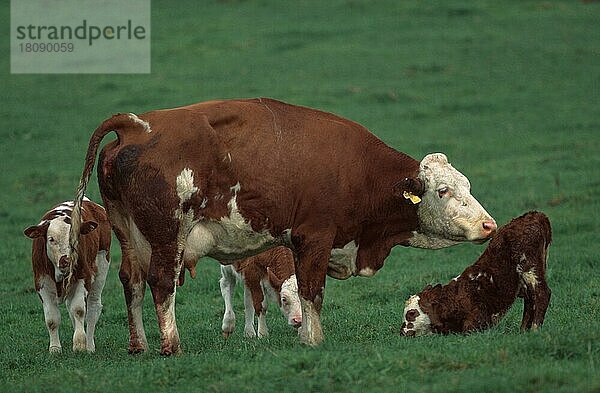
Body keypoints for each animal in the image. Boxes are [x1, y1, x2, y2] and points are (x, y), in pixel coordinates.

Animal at [24, 199, 111, 352]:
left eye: (75, 238)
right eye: (51, 239)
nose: (67, 260)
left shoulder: (84, 277)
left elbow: (78, 310)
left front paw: (80, 344)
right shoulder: (41, 283)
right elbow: (52, 319)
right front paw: (55, 348)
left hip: (102, 264)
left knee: (93, 307)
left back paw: (89, 345)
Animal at [68, 99, 494, 356]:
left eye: (468, 186)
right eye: (443, 190)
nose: (489, 224)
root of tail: (138, 125)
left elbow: (302, 292)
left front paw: (304, 333)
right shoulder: (315, 237)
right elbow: (311, 291)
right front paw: (314, 339)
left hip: (129, 234)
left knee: (133, 281)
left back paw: (139, 345)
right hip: (167, 235)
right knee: (161, 282)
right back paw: (171, 345)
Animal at [400, 210, 552, 336]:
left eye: (412, 313)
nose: (402, 332)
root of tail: (535, 215)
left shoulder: (477, 319)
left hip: (529, 266)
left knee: (542, 293)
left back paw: (534, 329)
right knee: (530, 298)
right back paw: (523, 331)